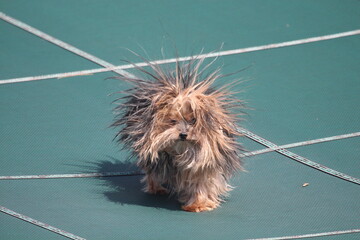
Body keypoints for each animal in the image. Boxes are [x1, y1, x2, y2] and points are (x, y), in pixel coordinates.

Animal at [112, 56, 245, 212]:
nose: (183, 134)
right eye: (173, 121)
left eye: (193, 120)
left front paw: (198, 204)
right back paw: (156, 188)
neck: (185, 150)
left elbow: (200, 185)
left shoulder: (203, 167)